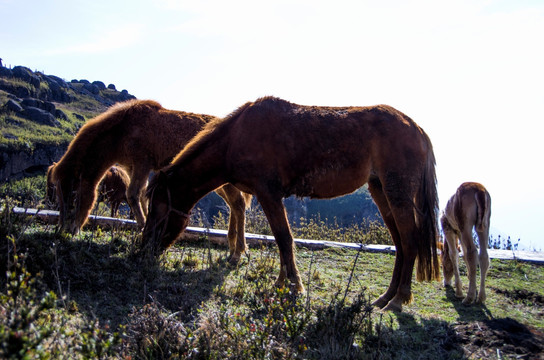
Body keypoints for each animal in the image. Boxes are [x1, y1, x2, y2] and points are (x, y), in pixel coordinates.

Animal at [51, 98, 251, 262]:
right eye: (59, 196)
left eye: (74, 196)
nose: (64, 230)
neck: (123, 129)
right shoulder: (133, 167)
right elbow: (141, 196)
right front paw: (145, 226)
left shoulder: (142, 163)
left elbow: (133, 194)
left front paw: (142, 229)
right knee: (234, 205)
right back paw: (232, 248)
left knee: (238, 203)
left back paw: (238, 251)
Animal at [142, 96, 440, 312]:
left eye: (159, 208)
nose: (144, 249)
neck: (236, 137)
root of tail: (417, 128)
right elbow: (280, 239)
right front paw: (283, 281)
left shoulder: (269, 193)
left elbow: (284, 237)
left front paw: (294, 285)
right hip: (381, 191)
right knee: (400, 243)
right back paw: (385, 297)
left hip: (397, 193)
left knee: (410, 241)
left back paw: (399, 299)